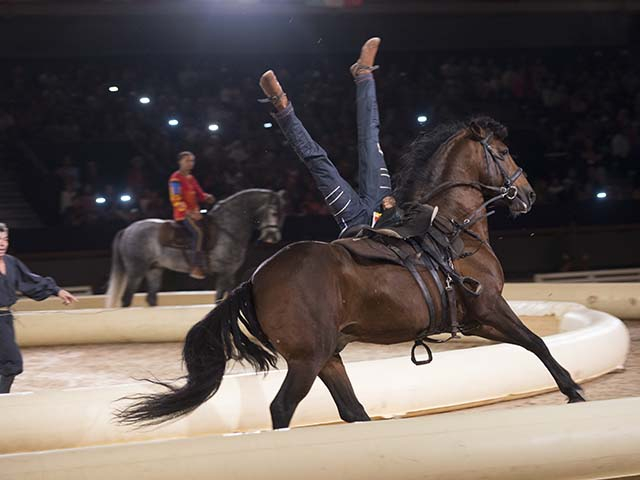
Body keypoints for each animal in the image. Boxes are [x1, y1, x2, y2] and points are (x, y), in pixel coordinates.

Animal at [105, 188, 286, 307]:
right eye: (274, 213)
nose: (273, 237)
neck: (227, 228)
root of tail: (127, 229)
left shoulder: (229, 273)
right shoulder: (224, 272)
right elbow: (219, 298)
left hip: (154, 269)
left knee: (151, 298)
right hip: (136, 271)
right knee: (126, 299)